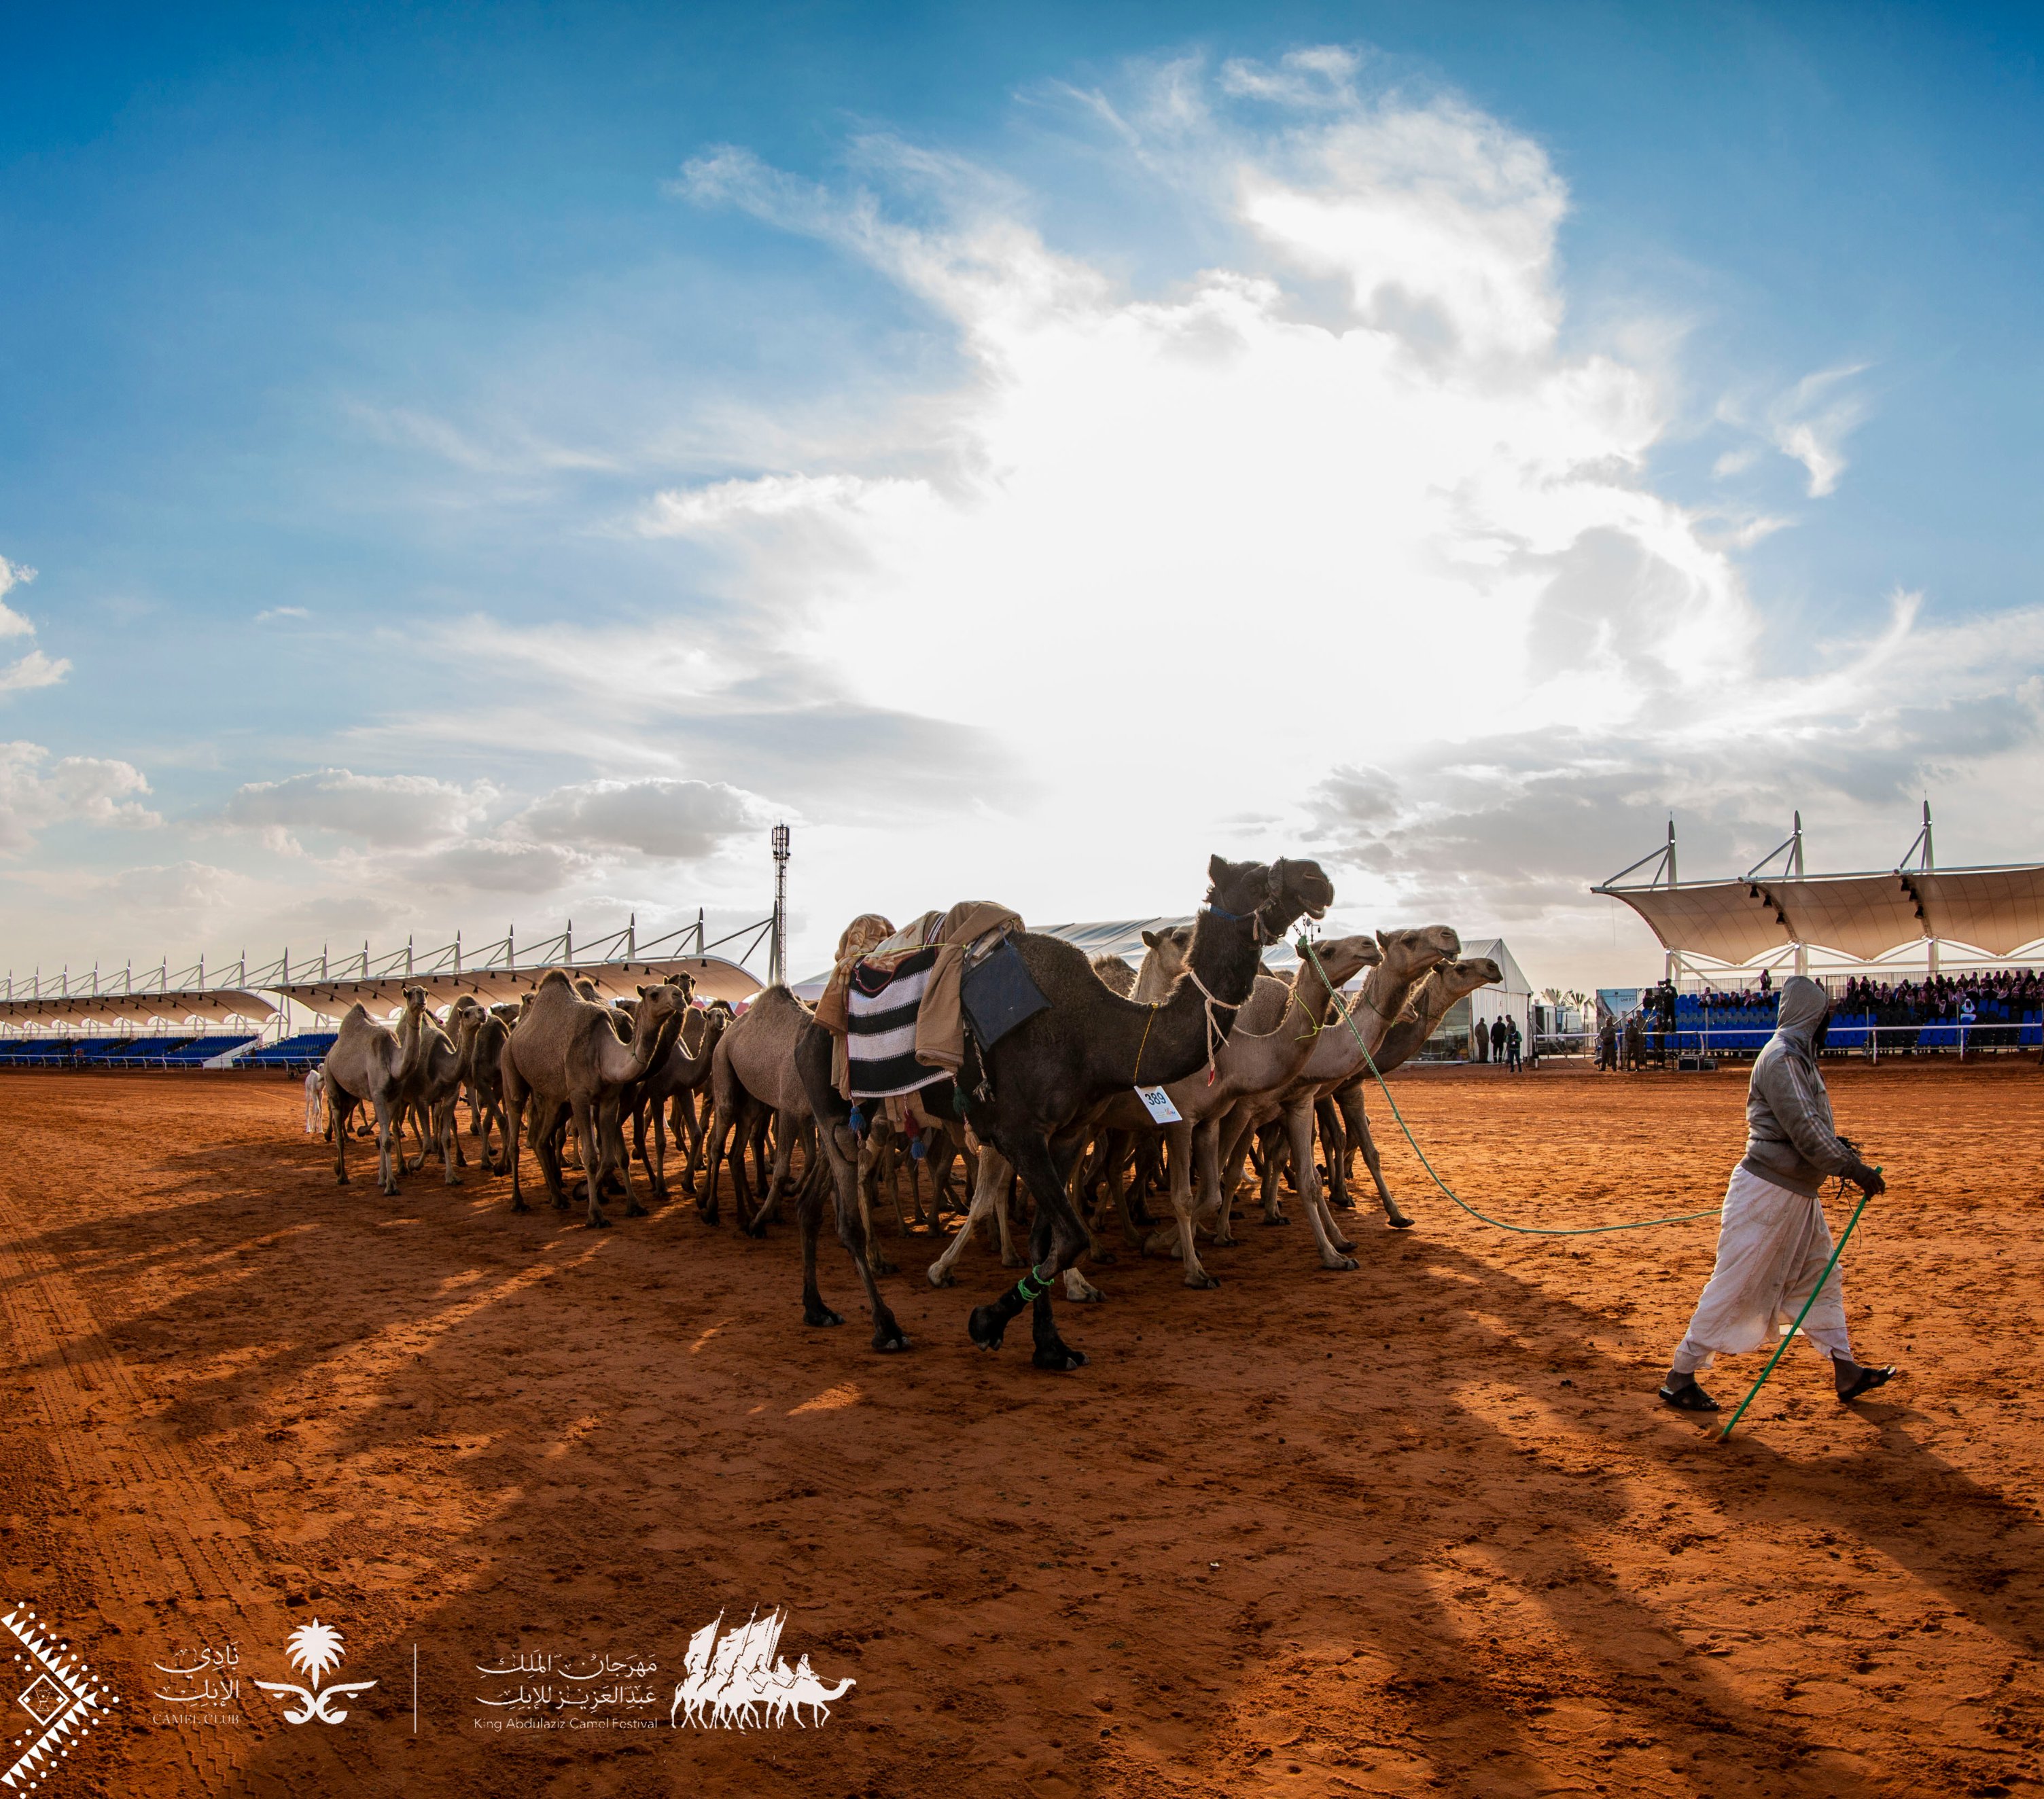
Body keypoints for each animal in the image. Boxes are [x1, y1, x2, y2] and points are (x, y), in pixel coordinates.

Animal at [321, 989, 429, 1202]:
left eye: (426, 992)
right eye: (411, 994)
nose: (421, 1000)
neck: (392, 1060)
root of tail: (330, 1053)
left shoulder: (394, 1096)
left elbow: (385, 1135)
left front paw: (382, 1178)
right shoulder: (378, 1094)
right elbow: (385, 1139)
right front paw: (391, 1186)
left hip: (350, 1095)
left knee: (345, 1113)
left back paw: (337, 1165)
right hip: (331, 1080)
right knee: (337, 1119)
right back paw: (342, 1176)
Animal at [498, 977, 690, 1226]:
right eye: (654, 994)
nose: (679, 996)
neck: (604, 1054)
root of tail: (513, 1035)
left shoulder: (610, 1099)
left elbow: (610, 1157)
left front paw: (605, 1197)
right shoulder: (580, 1096)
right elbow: (591, 1156)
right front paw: (595, 1213)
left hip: (554, 1099)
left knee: (540, 1140)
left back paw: (558, 1198)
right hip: (511, 1070)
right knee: (516, 1131)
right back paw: (519, 1201)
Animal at [789, 858, 1333, 1366]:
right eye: (1258, 875)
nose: (1318, 877)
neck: (1095, 1033)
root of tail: (813, 1019)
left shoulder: (1069, 1133)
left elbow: (1045, 1240)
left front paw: (1051, 1347)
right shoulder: (1018, 1133)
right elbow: (1069, 1235)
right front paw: (986, 1321)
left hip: (855, 1122)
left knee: (812, 1202)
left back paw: (817, 1307)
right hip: (836, 1114)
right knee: (848, 1220)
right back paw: (886, 1327)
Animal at [1316, 957, 1512, 1226]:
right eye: (1460, 968)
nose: (1493, 967)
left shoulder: (1350, 1087)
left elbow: (1358, 1137)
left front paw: (1342, 1181)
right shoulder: (1328, 1090)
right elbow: (1335, 1135)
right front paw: (1339, 1192)